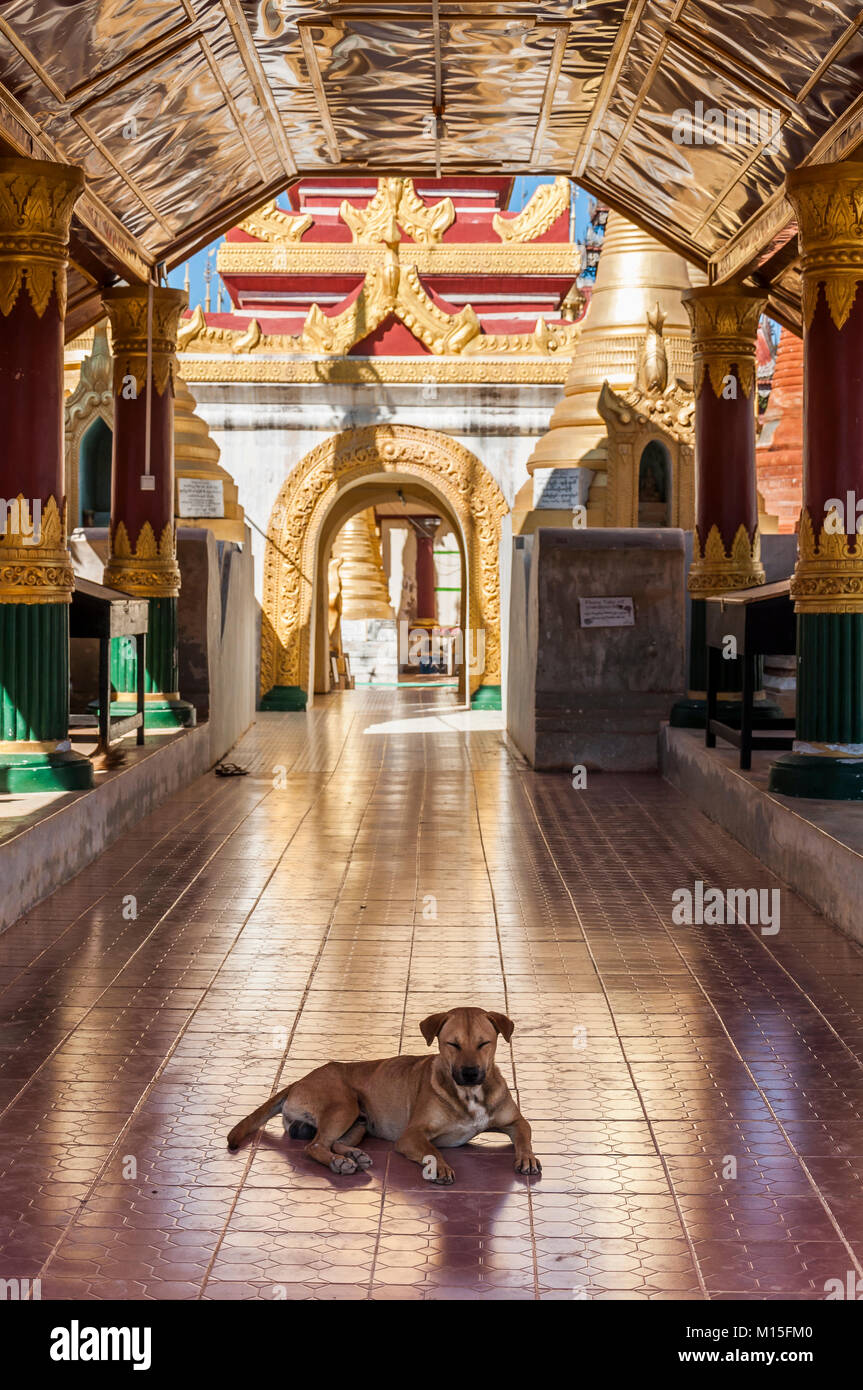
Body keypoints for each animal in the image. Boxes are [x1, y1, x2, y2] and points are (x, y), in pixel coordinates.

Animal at [225, 1006, 541, 1189]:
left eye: (484, 1043)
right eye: (452, 1044)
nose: (471, 1073)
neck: (469, 1095)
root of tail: (297, 1081)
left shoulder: (516, 1121)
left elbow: (525, 1137)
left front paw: (527, 1158)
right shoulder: (411, 1135)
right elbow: (433, 1150)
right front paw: (440, 1166)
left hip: (359, 1121)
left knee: (331, 1142)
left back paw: (352, 1155)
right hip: (343, 1105)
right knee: (314, 1146)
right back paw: (339, 1163)